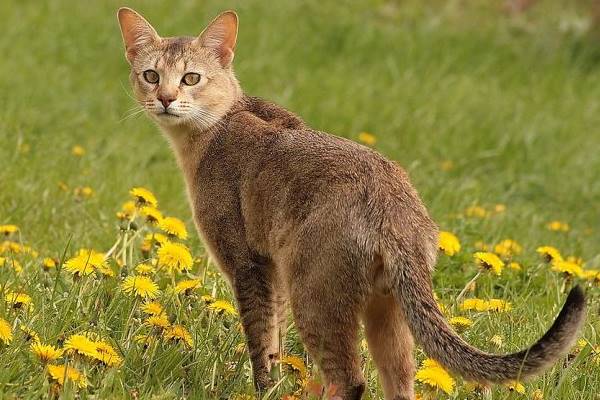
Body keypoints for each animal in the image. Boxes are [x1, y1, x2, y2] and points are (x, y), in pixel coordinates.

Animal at [117, 7, 584, 398]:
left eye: (191, 78)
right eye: (151, 75)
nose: (164, 99)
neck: (217, 127)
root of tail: (394, 208)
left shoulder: (248, 265)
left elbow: (260, 343)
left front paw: (263, 389)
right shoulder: (273, 274)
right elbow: (274, 343)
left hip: (315, 294)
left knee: (351, 379)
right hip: (384, 309)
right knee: (399, 379)